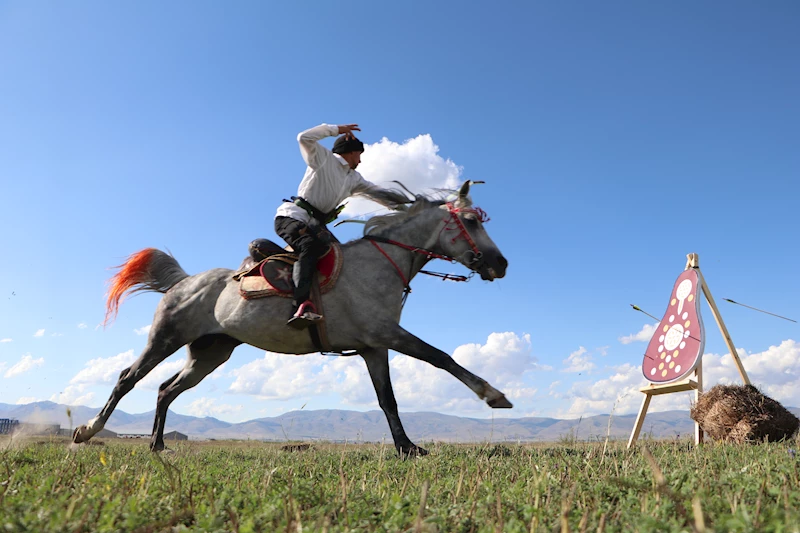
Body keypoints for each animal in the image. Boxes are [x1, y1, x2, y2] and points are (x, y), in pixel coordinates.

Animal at [75, 181, 512, 456]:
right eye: (471, 221)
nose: (500, 263)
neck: (380, 264)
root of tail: (183, 282)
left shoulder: (374, 347)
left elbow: (387, 399)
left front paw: (407, 447)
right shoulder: (389, 334)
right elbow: (441, 357)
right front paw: (494, 395)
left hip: (209, 353)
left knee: (167, 389)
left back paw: (157, 445)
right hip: (165, 338)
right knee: (128, 379)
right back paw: (88, 430)